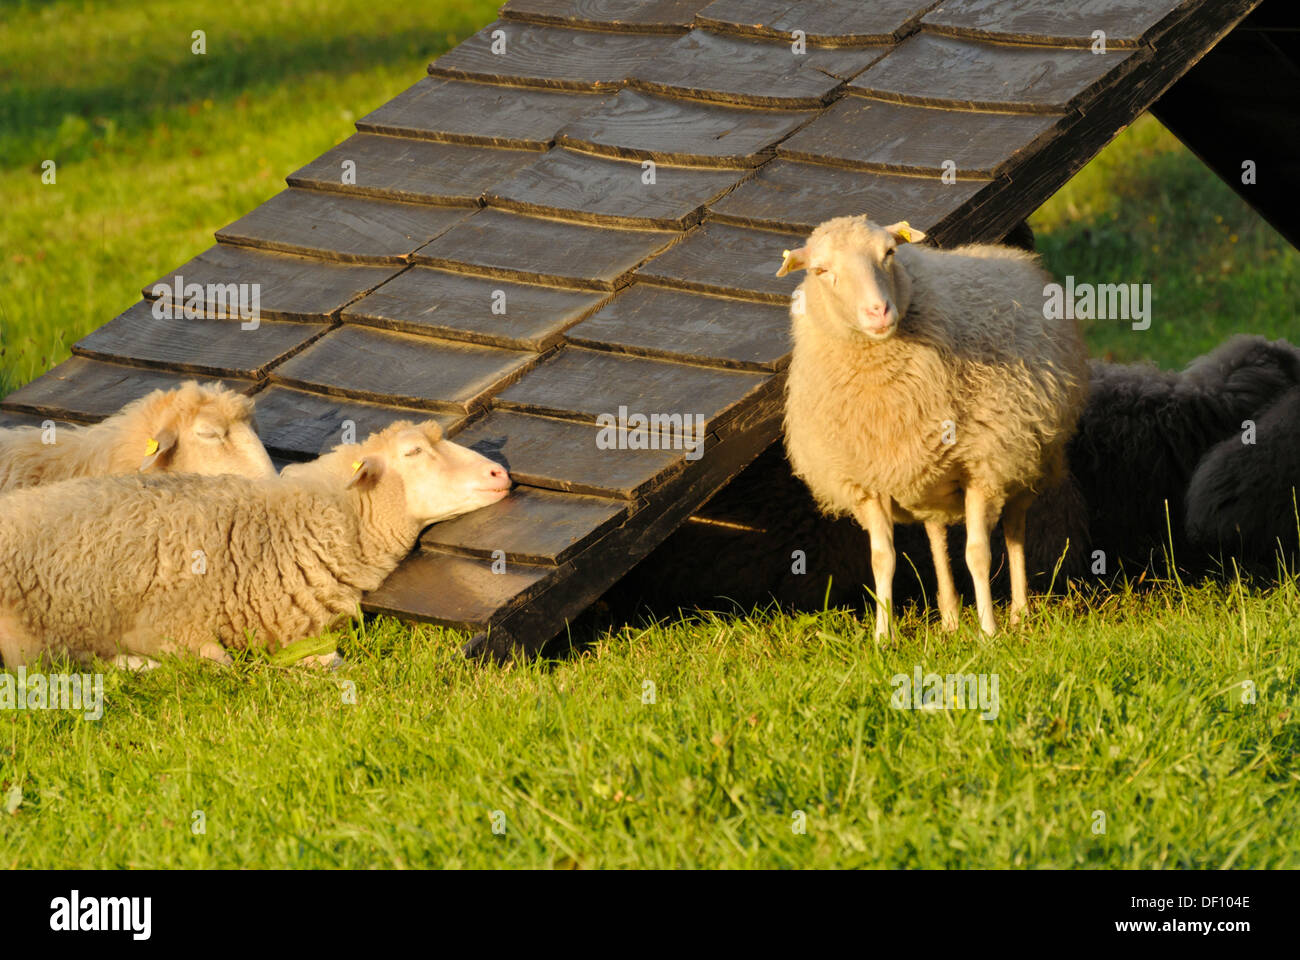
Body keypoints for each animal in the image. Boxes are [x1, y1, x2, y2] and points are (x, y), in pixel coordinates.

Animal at [774, 217, 1092, 634]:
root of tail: (1013, 256)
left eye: (889, 253)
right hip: (930, 484)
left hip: (1026, 460)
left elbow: (978, 554)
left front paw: (988, 632)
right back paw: (951, 619)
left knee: (1014, 531)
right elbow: (883, 559)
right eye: (822, 271)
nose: (879, 311)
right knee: (936, 536)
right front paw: (883, 636)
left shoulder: (983, 465)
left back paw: (1019, 613)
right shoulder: (867, 482)